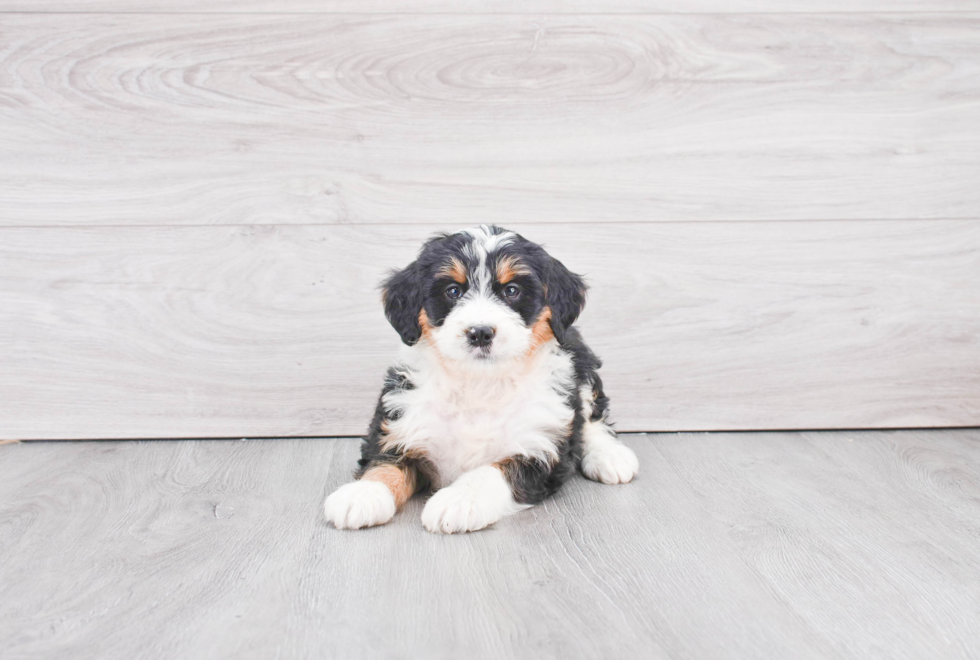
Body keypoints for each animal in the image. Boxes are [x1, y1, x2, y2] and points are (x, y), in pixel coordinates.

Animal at [326, 224, 640, 532]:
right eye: (453, 291)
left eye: (512, 290)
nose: (480, 332)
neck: (480, 382)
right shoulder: (399, 421)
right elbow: (384, 461)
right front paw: (363, 493)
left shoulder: (541, 444)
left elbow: (495, 471)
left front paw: (460, 500)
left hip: (581, 361)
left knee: (593, 415)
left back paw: (610, 456)